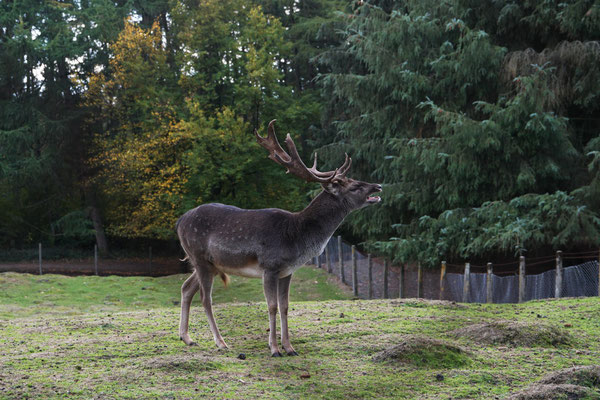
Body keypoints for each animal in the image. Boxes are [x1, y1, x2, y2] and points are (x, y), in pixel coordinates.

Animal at [175, 119, 380, 356]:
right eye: (355, 186)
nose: (378, 186)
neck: (297, 237)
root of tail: (179, 221)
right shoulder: (270, 266)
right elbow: (272, 306)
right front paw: (274, 348)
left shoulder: (287, 271)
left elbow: (285, 306)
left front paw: (289, 347)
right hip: (199, 257)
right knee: (205, 298)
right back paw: (221, 342)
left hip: (210, 264)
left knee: (186, 288)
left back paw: (187, 338)